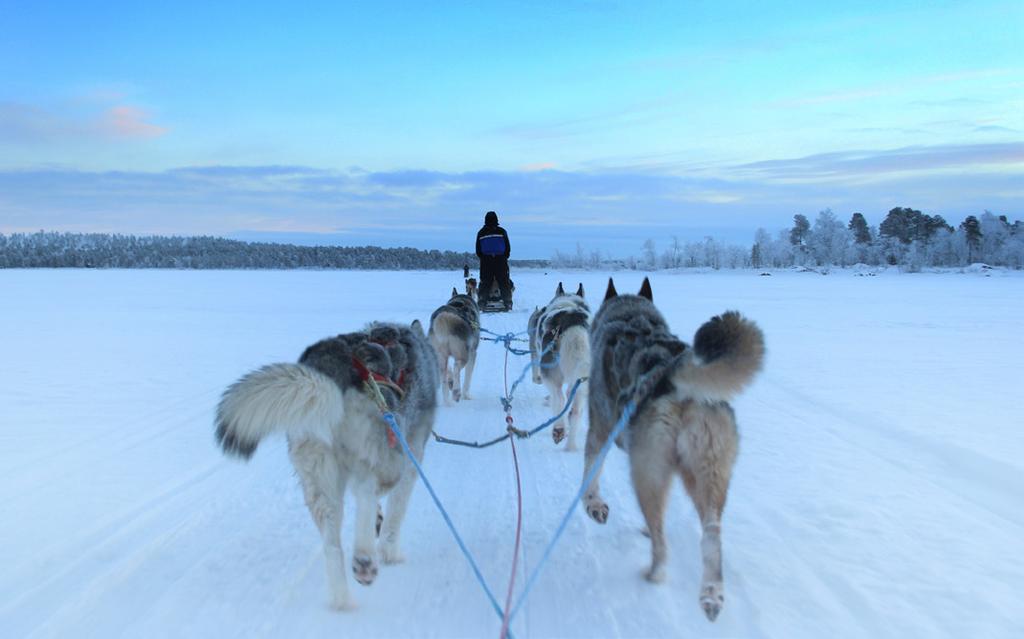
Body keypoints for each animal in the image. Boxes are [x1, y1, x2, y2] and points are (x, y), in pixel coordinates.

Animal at [214, 319, 438, 610]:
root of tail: (331, 368)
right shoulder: (411, 459)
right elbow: (394, 517)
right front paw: (391, 552)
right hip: (387, 457)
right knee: (366, 493)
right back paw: (364, 559)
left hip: (318, 477)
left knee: (332, 544)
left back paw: (342, 599)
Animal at [532, 282, 589, 452]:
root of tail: (573, 323)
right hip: (582, 381)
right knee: (575, 410)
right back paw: (571, 446)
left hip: (550, 374)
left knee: (560, 397)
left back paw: (558, 428)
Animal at [581, 276, 765, 622]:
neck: (631, 317)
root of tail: (672, 374)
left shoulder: (599, 429)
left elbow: (590, 474)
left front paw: (593, 505)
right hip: (707, 476)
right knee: (711, 536)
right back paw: (711, 595)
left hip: (646, 473)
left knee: (661, 542)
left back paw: (654, 573)